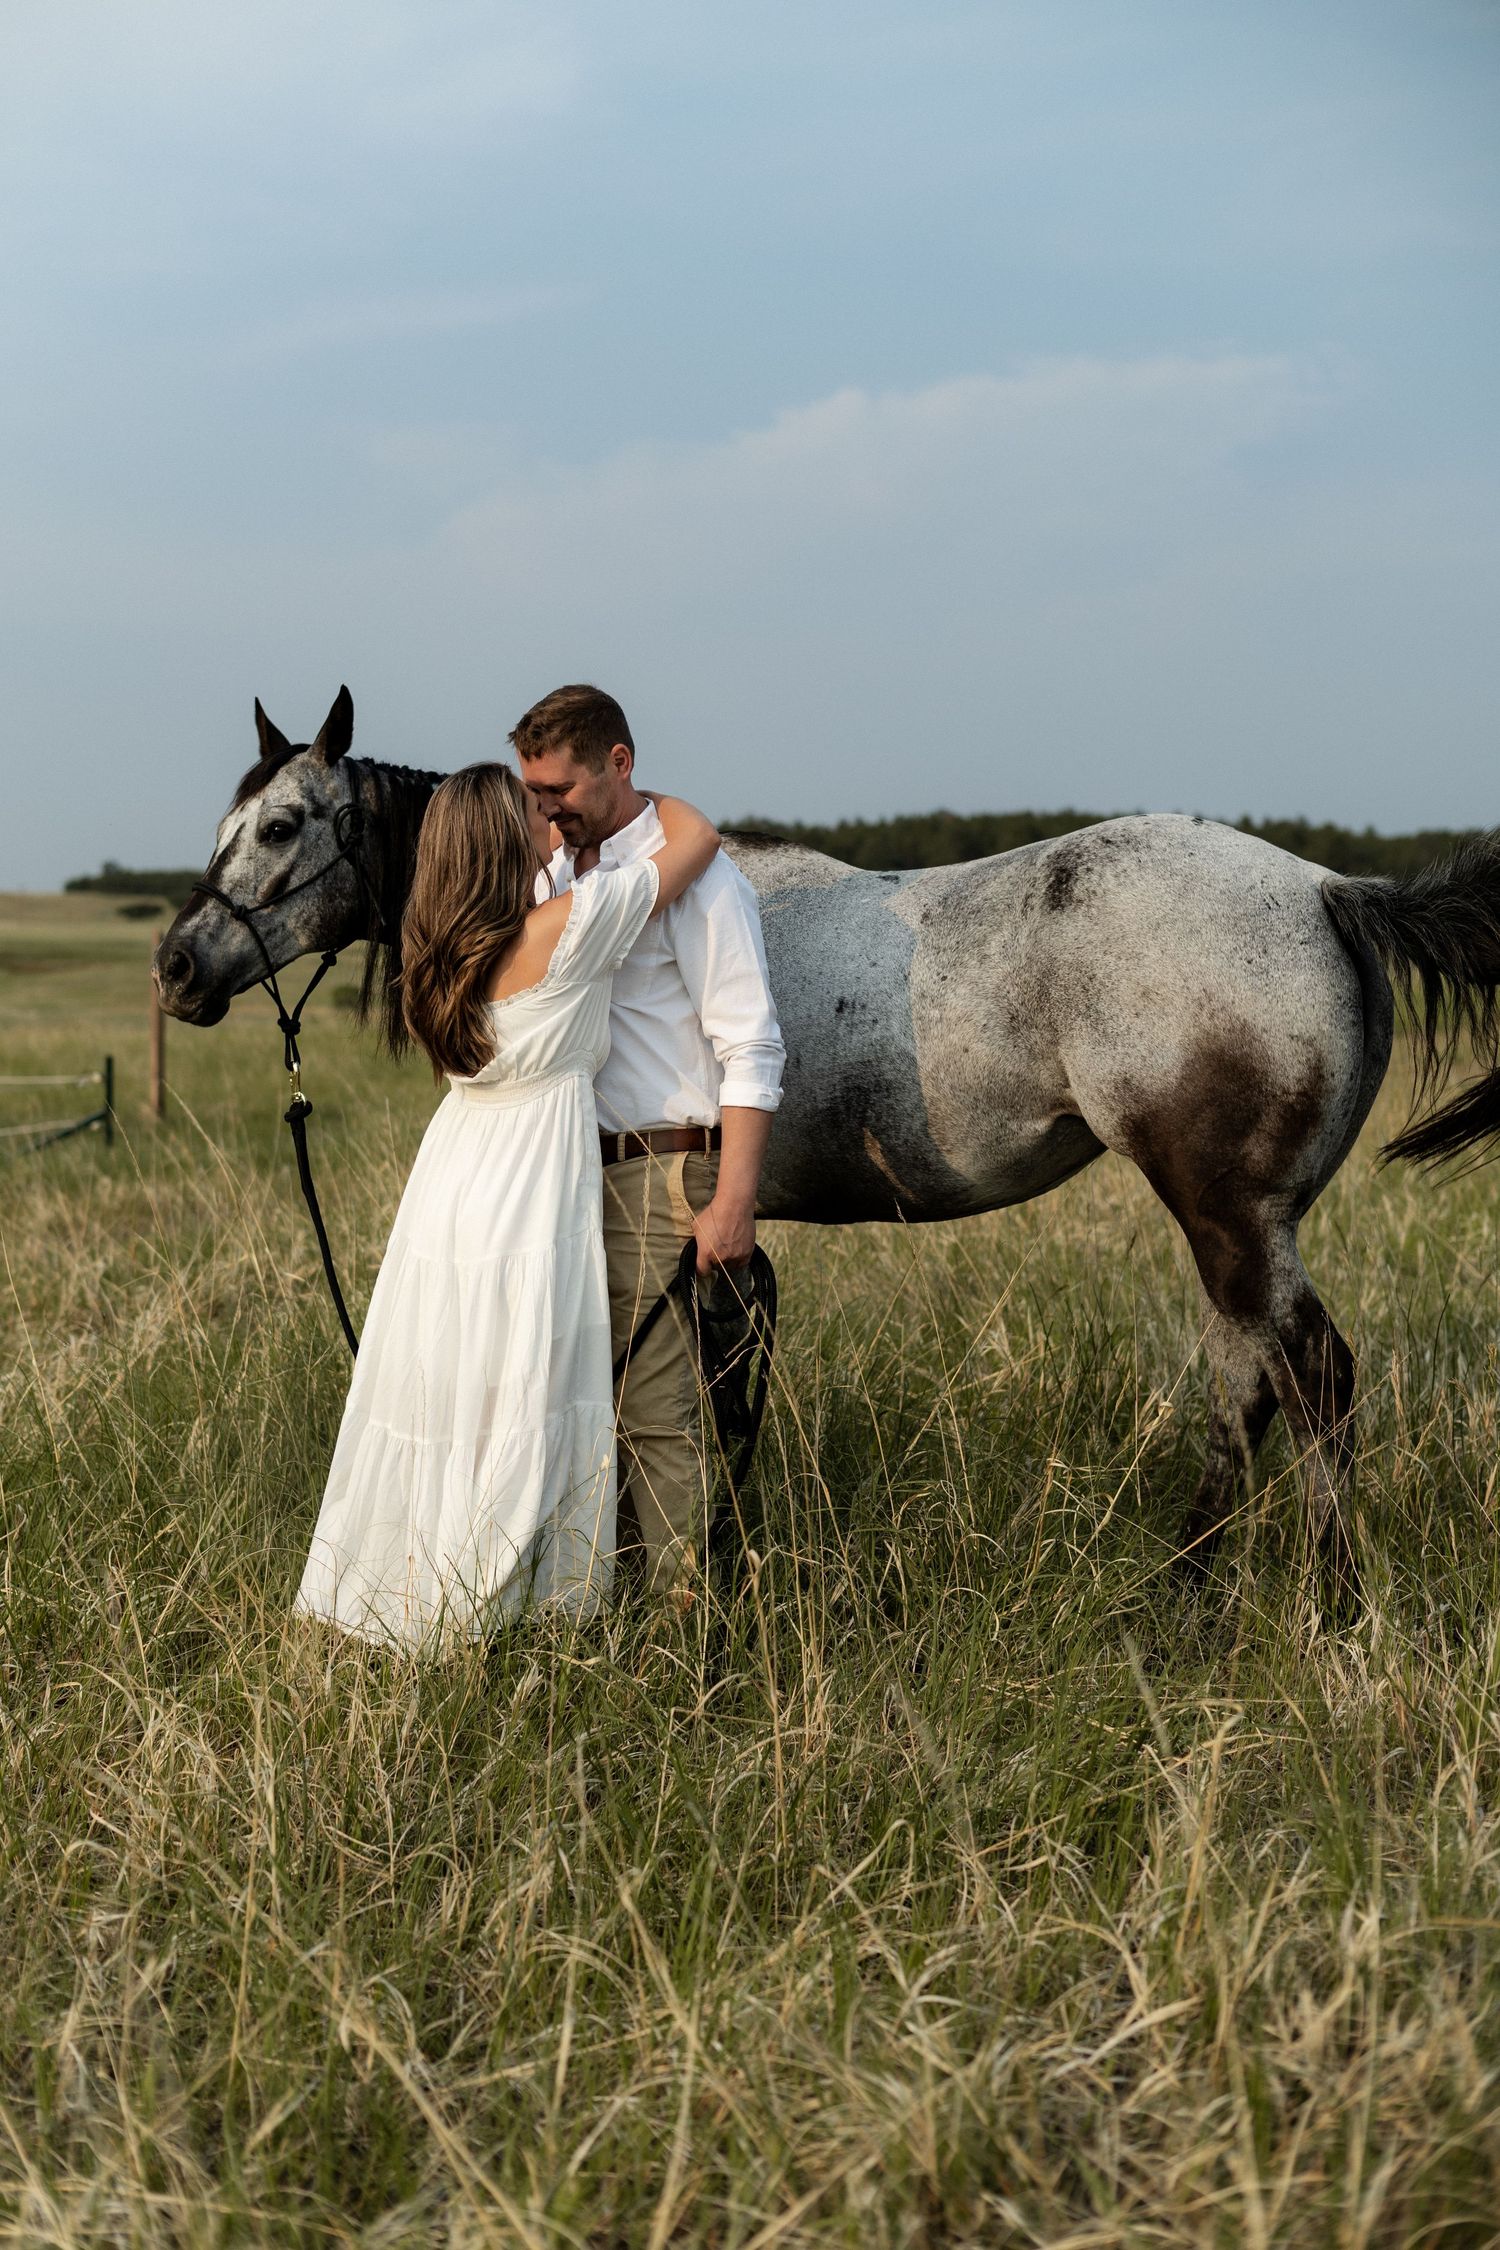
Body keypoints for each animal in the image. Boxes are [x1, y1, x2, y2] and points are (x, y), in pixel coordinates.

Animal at [154, 688, 1500, 1588]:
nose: (176, 968)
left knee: (1313, 1382)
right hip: (1245, 1227)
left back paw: (1310, 1606)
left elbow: (709, 1394)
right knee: (1252, 1382)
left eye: (283, 826)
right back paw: (1189, 1590)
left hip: (1228, 1217)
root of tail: (1326, 889)